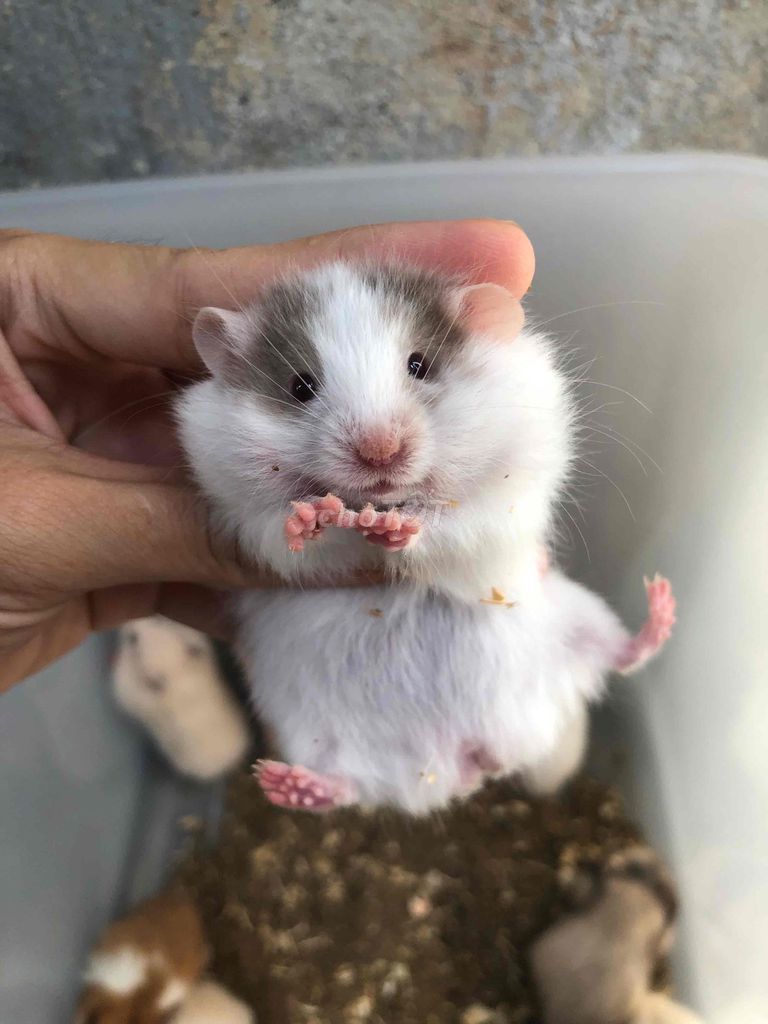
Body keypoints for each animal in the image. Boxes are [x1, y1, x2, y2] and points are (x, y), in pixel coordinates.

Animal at [176, 261, 675, 815]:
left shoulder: (507, 489)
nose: (380, 452)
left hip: (578, 617)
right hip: (307, 729)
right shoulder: (242, 510)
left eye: (420, 364)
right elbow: (292, 534)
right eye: (300, 385)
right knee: (346, 786)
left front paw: (393, 528)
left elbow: (448, 522)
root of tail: (467, 757)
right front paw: (315, 516)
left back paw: (660, 603)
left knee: (624, 655)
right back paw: (282, 783)